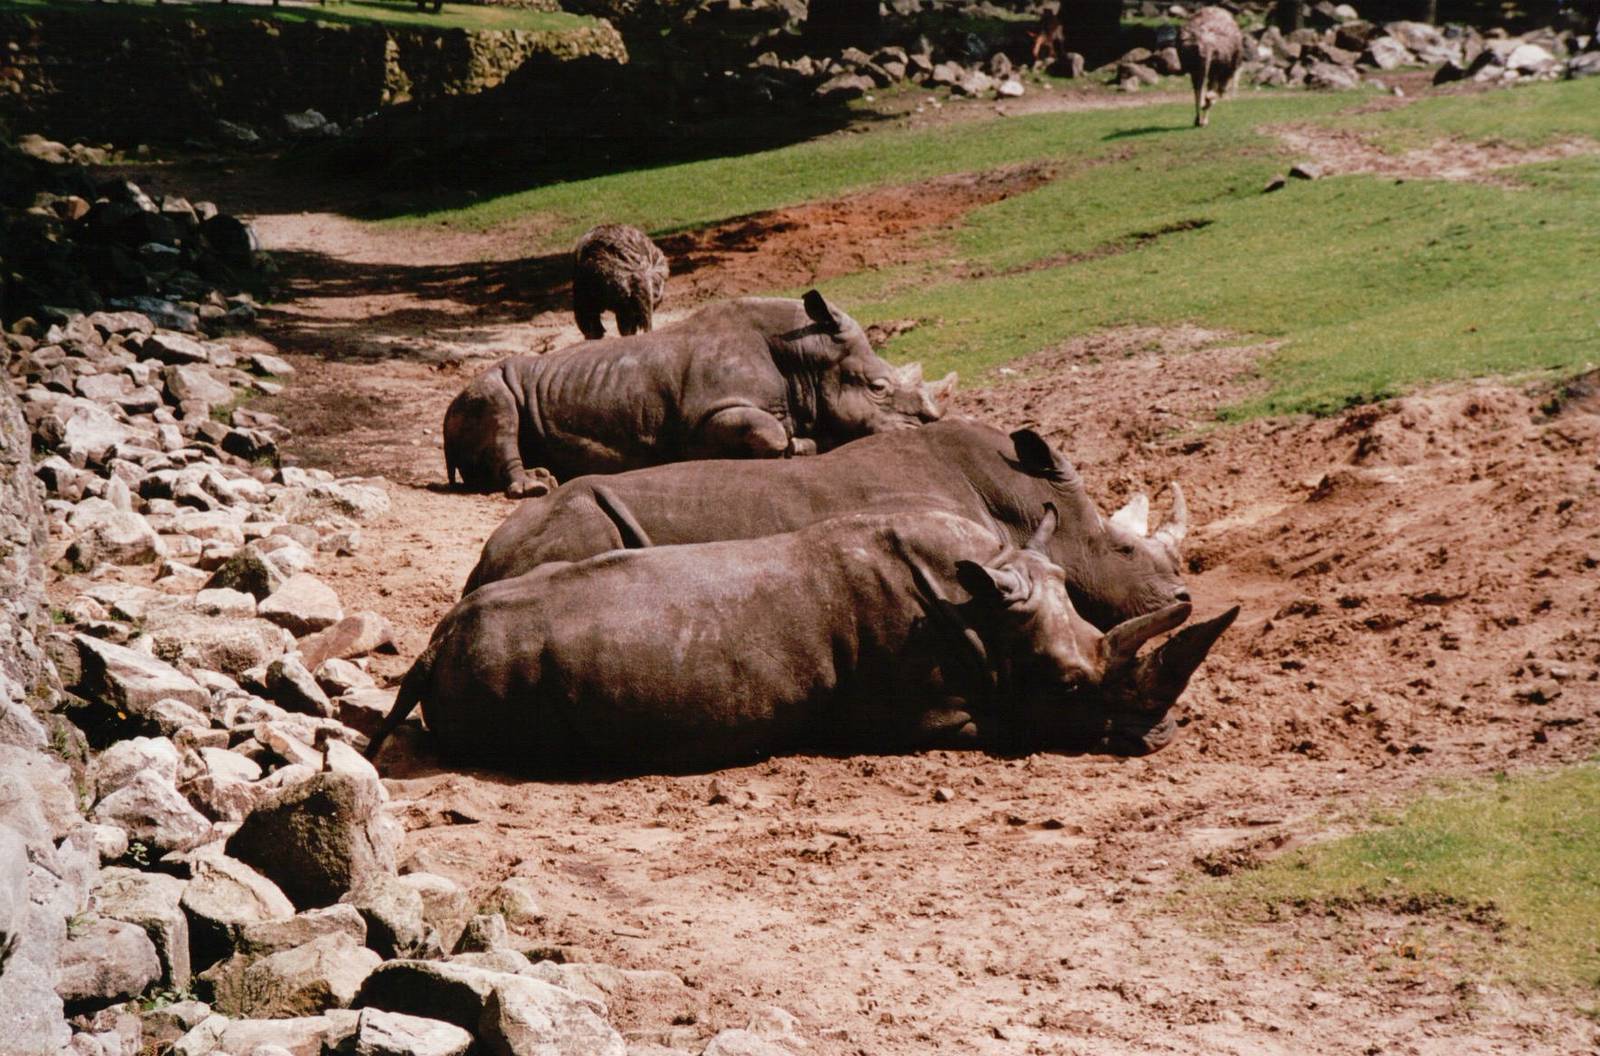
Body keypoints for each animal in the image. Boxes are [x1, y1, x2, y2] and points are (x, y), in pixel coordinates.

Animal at [366, 509, 1235, 773]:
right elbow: (1004, 726)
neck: (981, 605)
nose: (1161, 735)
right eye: (1067, 684)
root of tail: (435, 644)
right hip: (501, 667)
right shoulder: (911, 713)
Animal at [443, 291, 954, 498]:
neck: (805, 358)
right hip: (481, 389)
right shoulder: (709, 415)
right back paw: (536, 485)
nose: (926, 425)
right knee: (498, 401)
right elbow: (770, 432)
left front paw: (808, 440)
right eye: (878, 388)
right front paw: (798, 445)